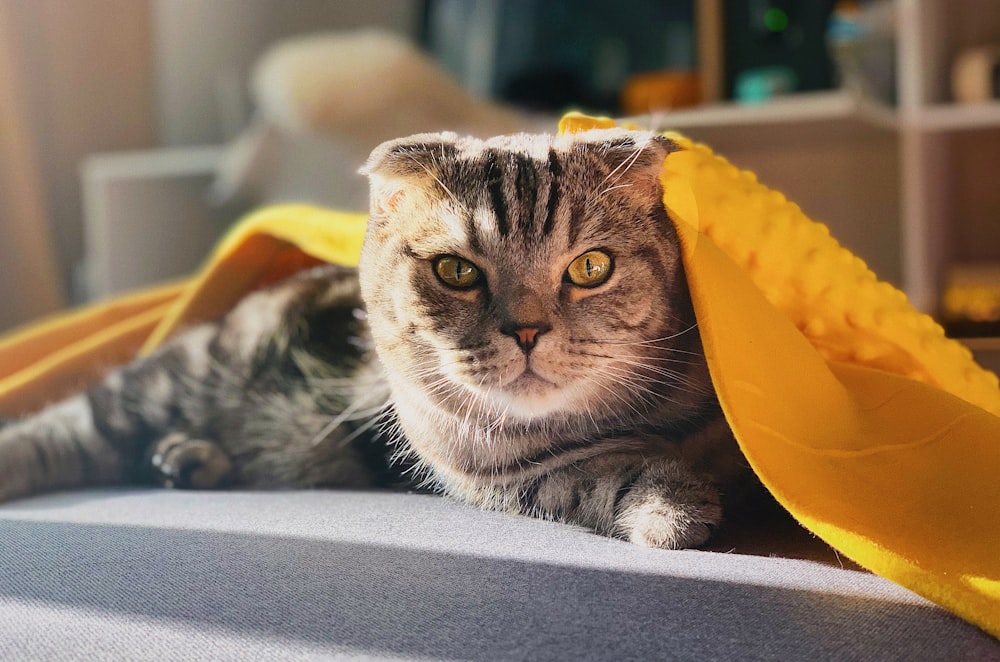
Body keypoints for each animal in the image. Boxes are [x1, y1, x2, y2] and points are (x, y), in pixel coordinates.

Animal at [0, 128, 752, 548]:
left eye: (591, 268)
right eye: (456, 270)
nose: (527, 330)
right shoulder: (492, 473)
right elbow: (601, 476)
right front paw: (671, 504)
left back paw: (186, 458)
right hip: (171, 379)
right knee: (60, 433)